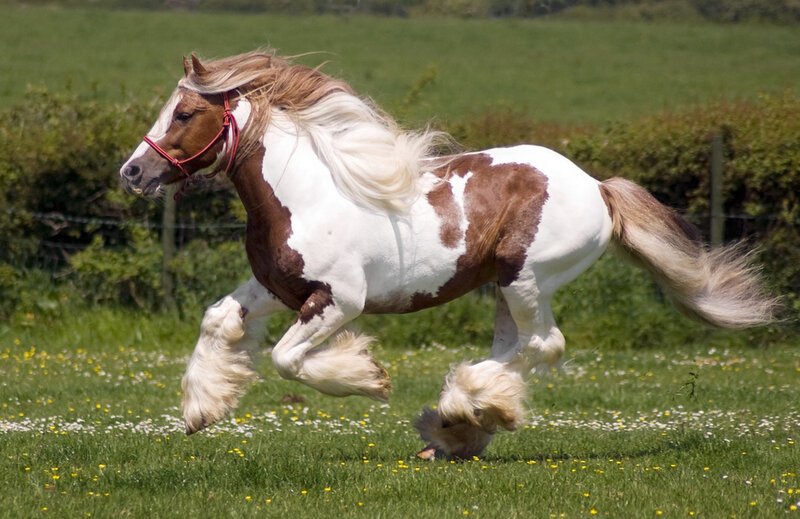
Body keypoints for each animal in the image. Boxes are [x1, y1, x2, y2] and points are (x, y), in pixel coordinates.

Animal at [120, 50, 776, 460]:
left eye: (185, 113)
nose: (132, 172)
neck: (305, 194)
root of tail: (597, 188)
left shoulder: (339, 301)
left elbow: (286, 360)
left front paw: (368, 378)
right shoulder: (274, 288)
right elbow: (217, 320)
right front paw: (202, 410)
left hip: (526, 279)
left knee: (544, 345)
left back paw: (462, 412)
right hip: (506, 290)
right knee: (518, 347)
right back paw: (458, 426)